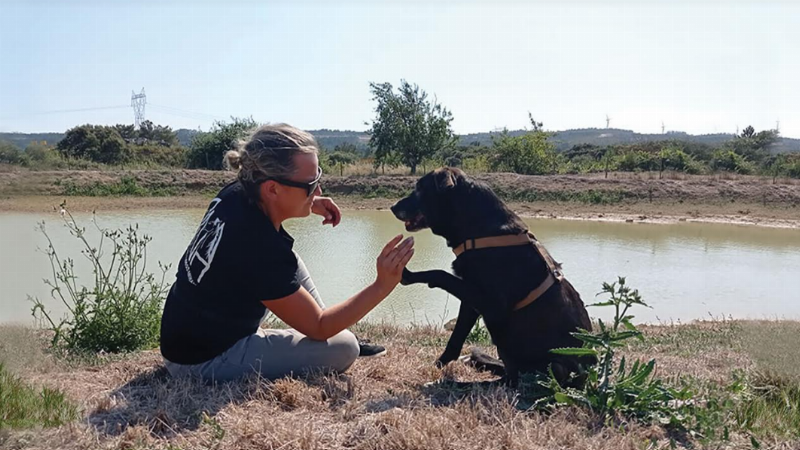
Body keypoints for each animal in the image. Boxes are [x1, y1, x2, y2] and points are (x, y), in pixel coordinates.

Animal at [392, 167, 592, 384]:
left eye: (420, 189)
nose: (393, 207)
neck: (480, 231)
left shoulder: (492, 305)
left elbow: (439, 274)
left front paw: (408, 274)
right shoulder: (471, 300)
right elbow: (456, 337)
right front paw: (440, 364)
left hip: (531, 351)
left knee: (511, 378)